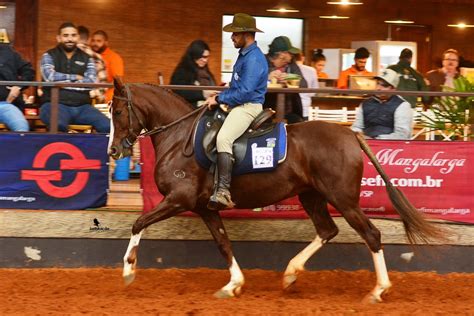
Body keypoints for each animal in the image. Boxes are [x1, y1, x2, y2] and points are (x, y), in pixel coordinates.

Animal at [107, 78, 440, 302]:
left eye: (119, 112)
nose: (113, 151)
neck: (179, 138)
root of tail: (350, 134)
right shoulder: (204, 207)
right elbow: (223, 243)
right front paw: (233, 284)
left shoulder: (179, 199)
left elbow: (138, 223)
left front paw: (128, 271)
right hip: (312, 195)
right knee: (327, 230)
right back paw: (291, 272)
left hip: (344, 200)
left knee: (371, 235)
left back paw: (378, 290)